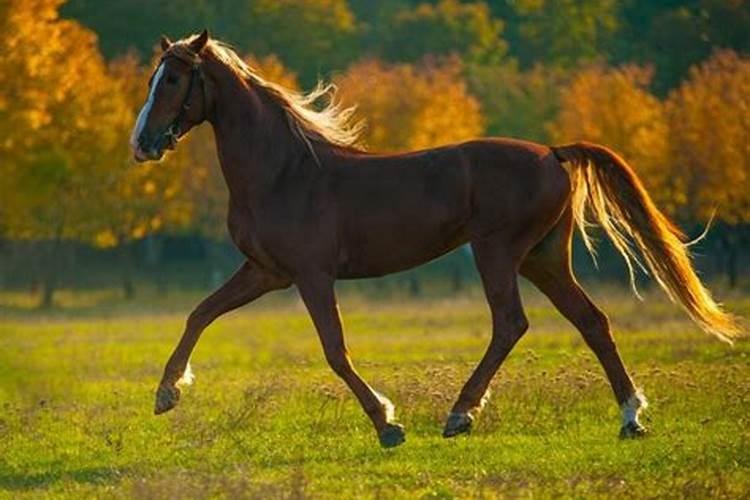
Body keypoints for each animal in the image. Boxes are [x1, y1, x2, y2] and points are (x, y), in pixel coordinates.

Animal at [131, 29, 740, 448]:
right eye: (154, 79)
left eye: (174, 80)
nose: (141, 144)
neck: (283, 172)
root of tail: (552, 153)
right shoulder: (266, 272)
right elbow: (200, 314)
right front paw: (167, 392)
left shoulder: (311, 276)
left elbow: (334, 350)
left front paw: (387, 424)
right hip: (542, 258)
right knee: (591, 321)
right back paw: (630, 417)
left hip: (498, 251)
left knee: (511, 324)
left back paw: (460, 414)